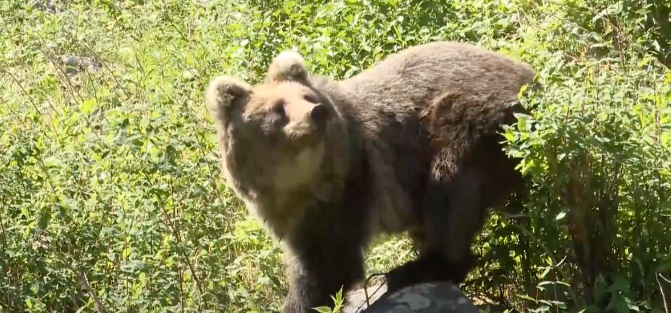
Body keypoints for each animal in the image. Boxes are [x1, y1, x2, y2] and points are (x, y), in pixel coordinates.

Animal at [203, 41, 536, 312]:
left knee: (449, 191)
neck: (297, 184)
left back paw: (412, 270)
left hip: (469, 124)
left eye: (306, 96)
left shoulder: (347, 186)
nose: (317, 112)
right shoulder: (290, 212)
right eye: (278, 109)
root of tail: (532, 78)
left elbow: (329, 265)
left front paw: (301, 302)